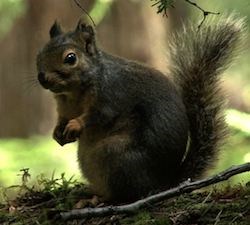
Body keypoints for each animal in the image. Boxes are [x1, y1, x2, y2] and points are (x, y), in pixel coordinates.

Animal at [36, 15, 245, 202]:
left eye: (70, 58)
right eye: (40, 54)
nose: (42, 78)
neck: (73, 92)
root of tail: (163, 184)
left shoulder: (111, 94)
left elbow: (98, 116)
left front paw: (75, 125)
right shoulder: (64, 107)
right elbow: (63, 118)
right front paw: (58, 132)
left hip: (116, 156)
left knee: (125, 194)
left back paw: (98, 200)